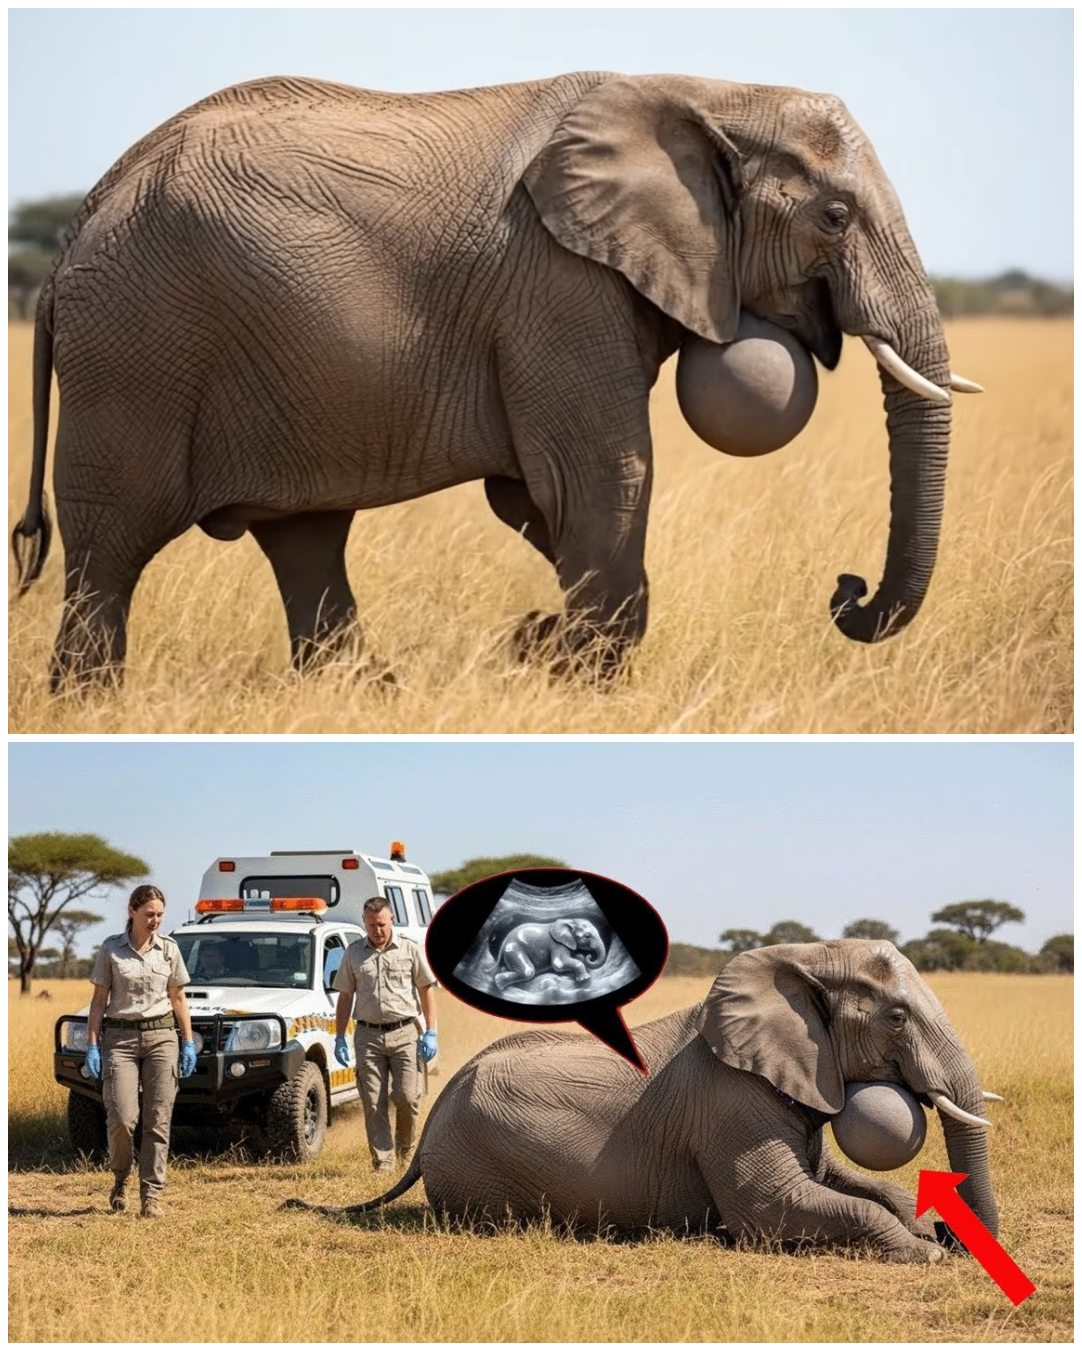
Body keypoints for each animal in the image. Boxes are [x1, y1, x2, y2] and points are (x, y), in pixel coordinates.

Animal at [11, 72, 982, 689]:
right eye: (836, 216)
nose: (846, 592)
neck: (709, 92)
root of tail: (75, 230)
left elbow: (535, 495)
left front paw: (545, 646)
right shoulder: (559, 287)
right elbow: (601, 475)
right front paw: (558, 661)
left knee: (305, 540)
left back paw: (366, 692)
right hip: (135, 352)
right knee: (111, 551)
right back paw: (93, 704)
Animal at [283, 940, 1001, 1263]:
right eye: (898, 1017)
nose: (963, 1241)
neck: (801, 958)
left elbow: (849, 1183)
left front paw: (924, 1230)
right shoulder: (729, 1098)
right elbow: (771, 1205)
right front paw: (928, 1252)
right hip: (477, 1165)